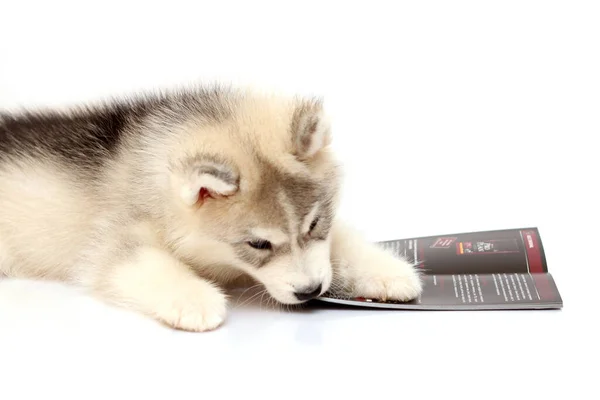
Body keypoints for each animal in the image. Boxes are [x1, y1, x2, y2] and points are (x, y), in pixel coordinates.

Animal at [0, 86, 422, 332]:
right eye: (258, 244)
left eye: (315, 223)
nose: (310, 291)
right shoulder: (114, 238)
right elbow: (144, 261)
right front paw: (193, 299)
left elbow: (342, 242)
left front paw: (386, 271)